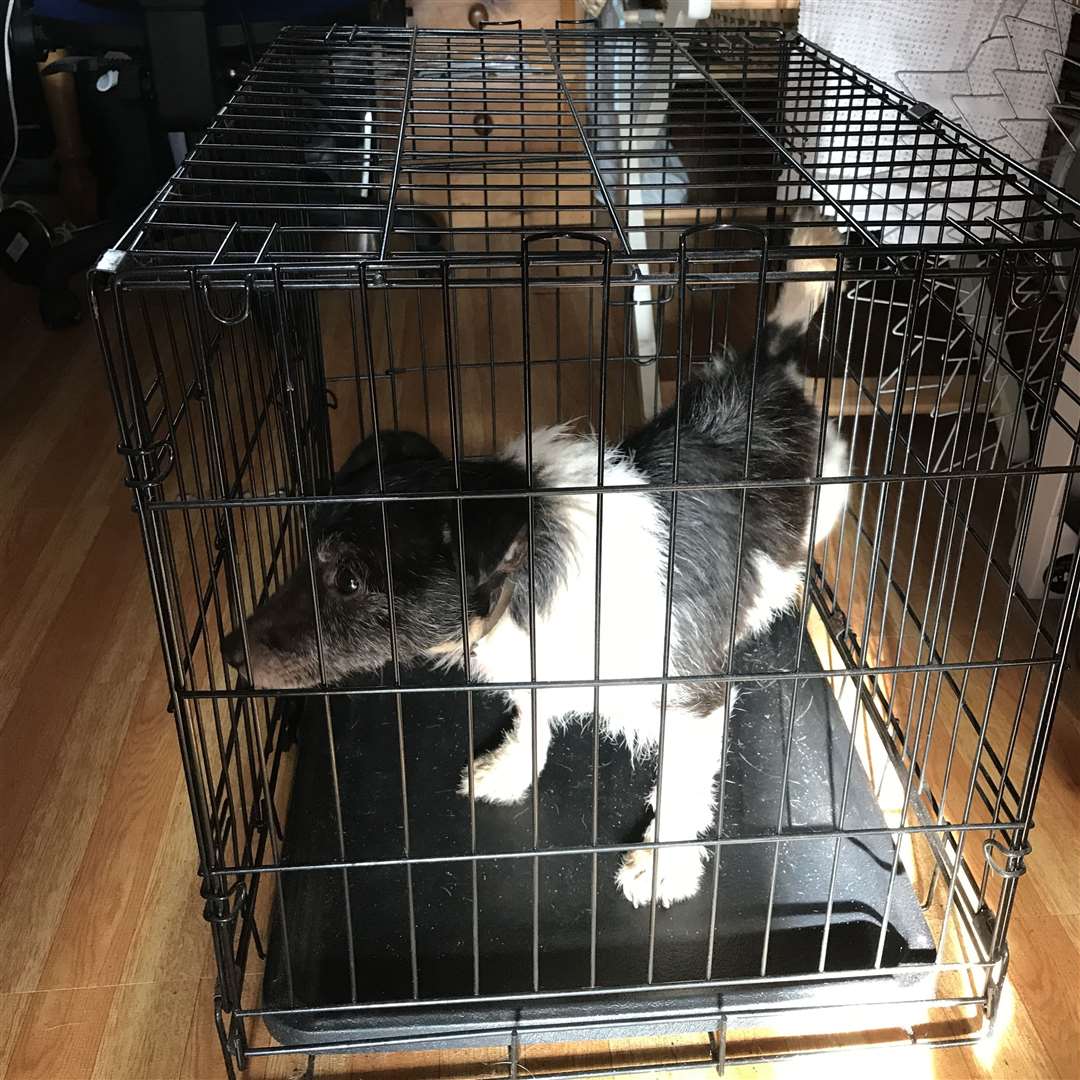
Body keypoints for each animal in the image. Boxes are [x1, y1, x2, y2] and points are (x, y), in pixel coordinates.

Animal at [223, 227, 851, 911]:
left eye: (351, 580)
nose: (228, 650)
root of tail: (768, 365)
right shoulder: (536, 668)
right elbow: (532, 725)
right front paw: (510, 771)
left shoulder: (692, 704)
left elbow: (682, 790)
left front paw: (663, 867)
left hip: (830, 493)